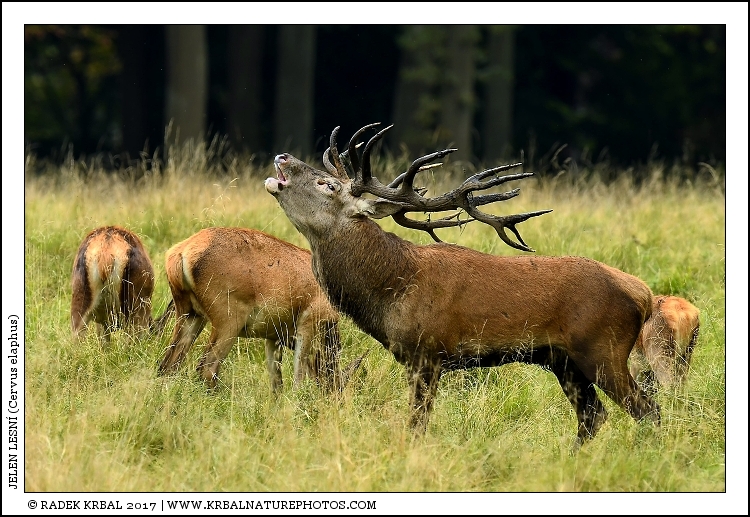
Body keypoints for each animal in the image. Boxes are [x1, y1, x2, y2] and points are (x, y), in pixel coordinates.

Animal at [156, 227, 365, 393]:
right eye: (337, 385)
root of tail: (183, 251)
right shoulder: (307, 326)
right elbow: (298, 376)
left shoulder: (273, 338)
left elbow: (276, 383)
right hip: (228, 325)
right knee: (207, 368)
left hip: (191, 316)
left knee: (167, 366)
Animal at [264, 122, 661, 447]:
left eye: (327, 184)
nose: (282, 156)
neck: (391, 291)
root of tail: (644, 295)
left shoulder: (428, 352)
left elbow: (417, 425)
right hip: (565, 361)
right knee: (594, 416)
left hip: (603, 350)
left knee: (647, 410)